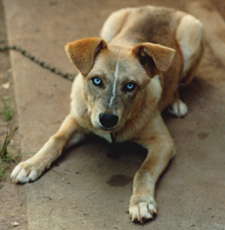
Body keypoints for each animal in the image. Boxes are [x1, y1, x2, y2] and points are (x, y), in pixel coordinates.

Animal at [10, 5, 204, 224]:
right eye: (96, 80)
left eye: (130, 86)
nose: (108, 120)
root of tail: (162, 7)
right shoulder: (77, 119)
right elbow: (55, 139)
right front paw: (30, 164)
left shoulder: (163, 143)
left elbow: (144, 170)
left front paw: (141, 202)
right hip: (111, 22)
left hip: (192, 36)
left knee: (179, 81)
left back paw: (176, 102)